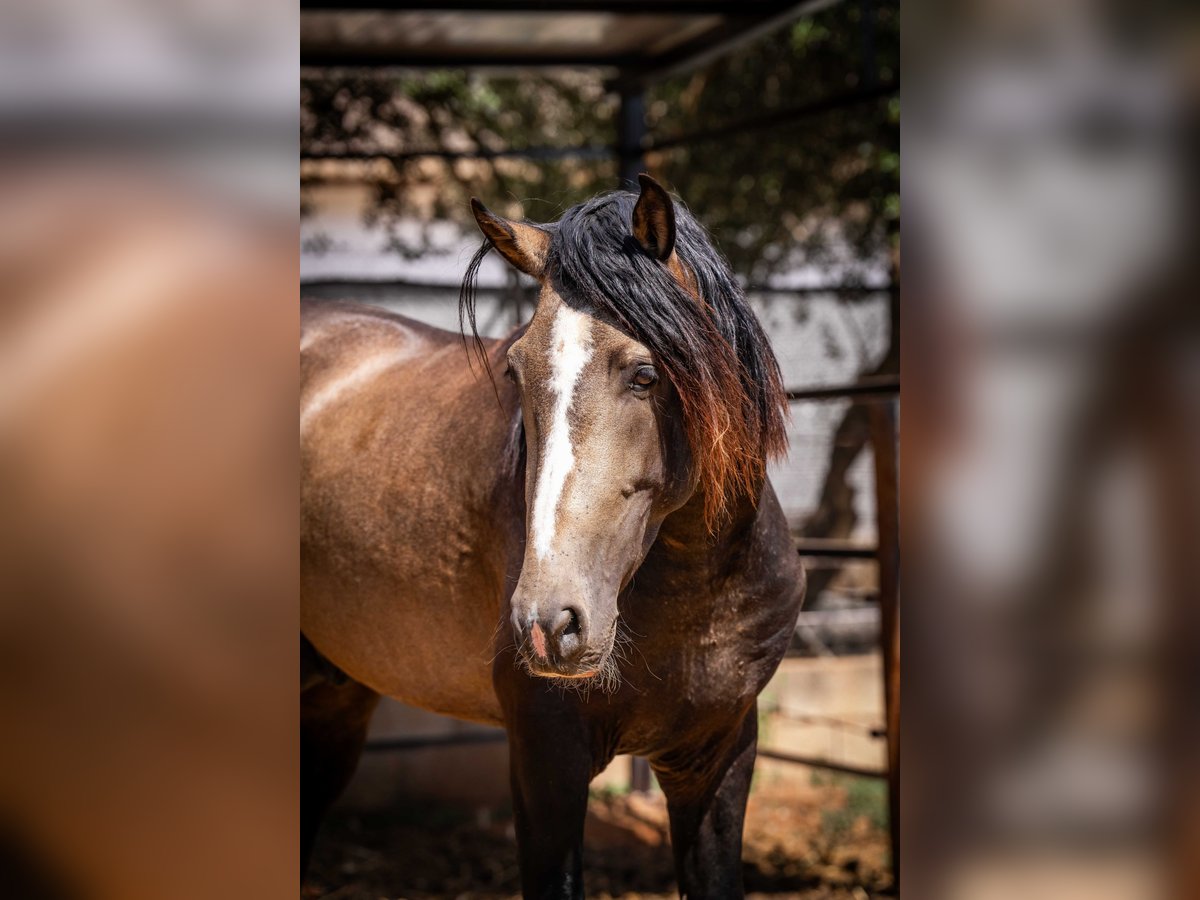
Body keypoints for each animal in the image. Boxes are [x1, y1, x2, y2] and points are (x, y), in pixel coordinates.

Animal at [300, 172, 806, 897]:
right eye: (515, 371)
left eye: (645, 373)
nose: (549, 623)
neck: (693, 593)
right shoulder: (546, 762)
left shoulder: (721, 758)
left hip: (333, 699)